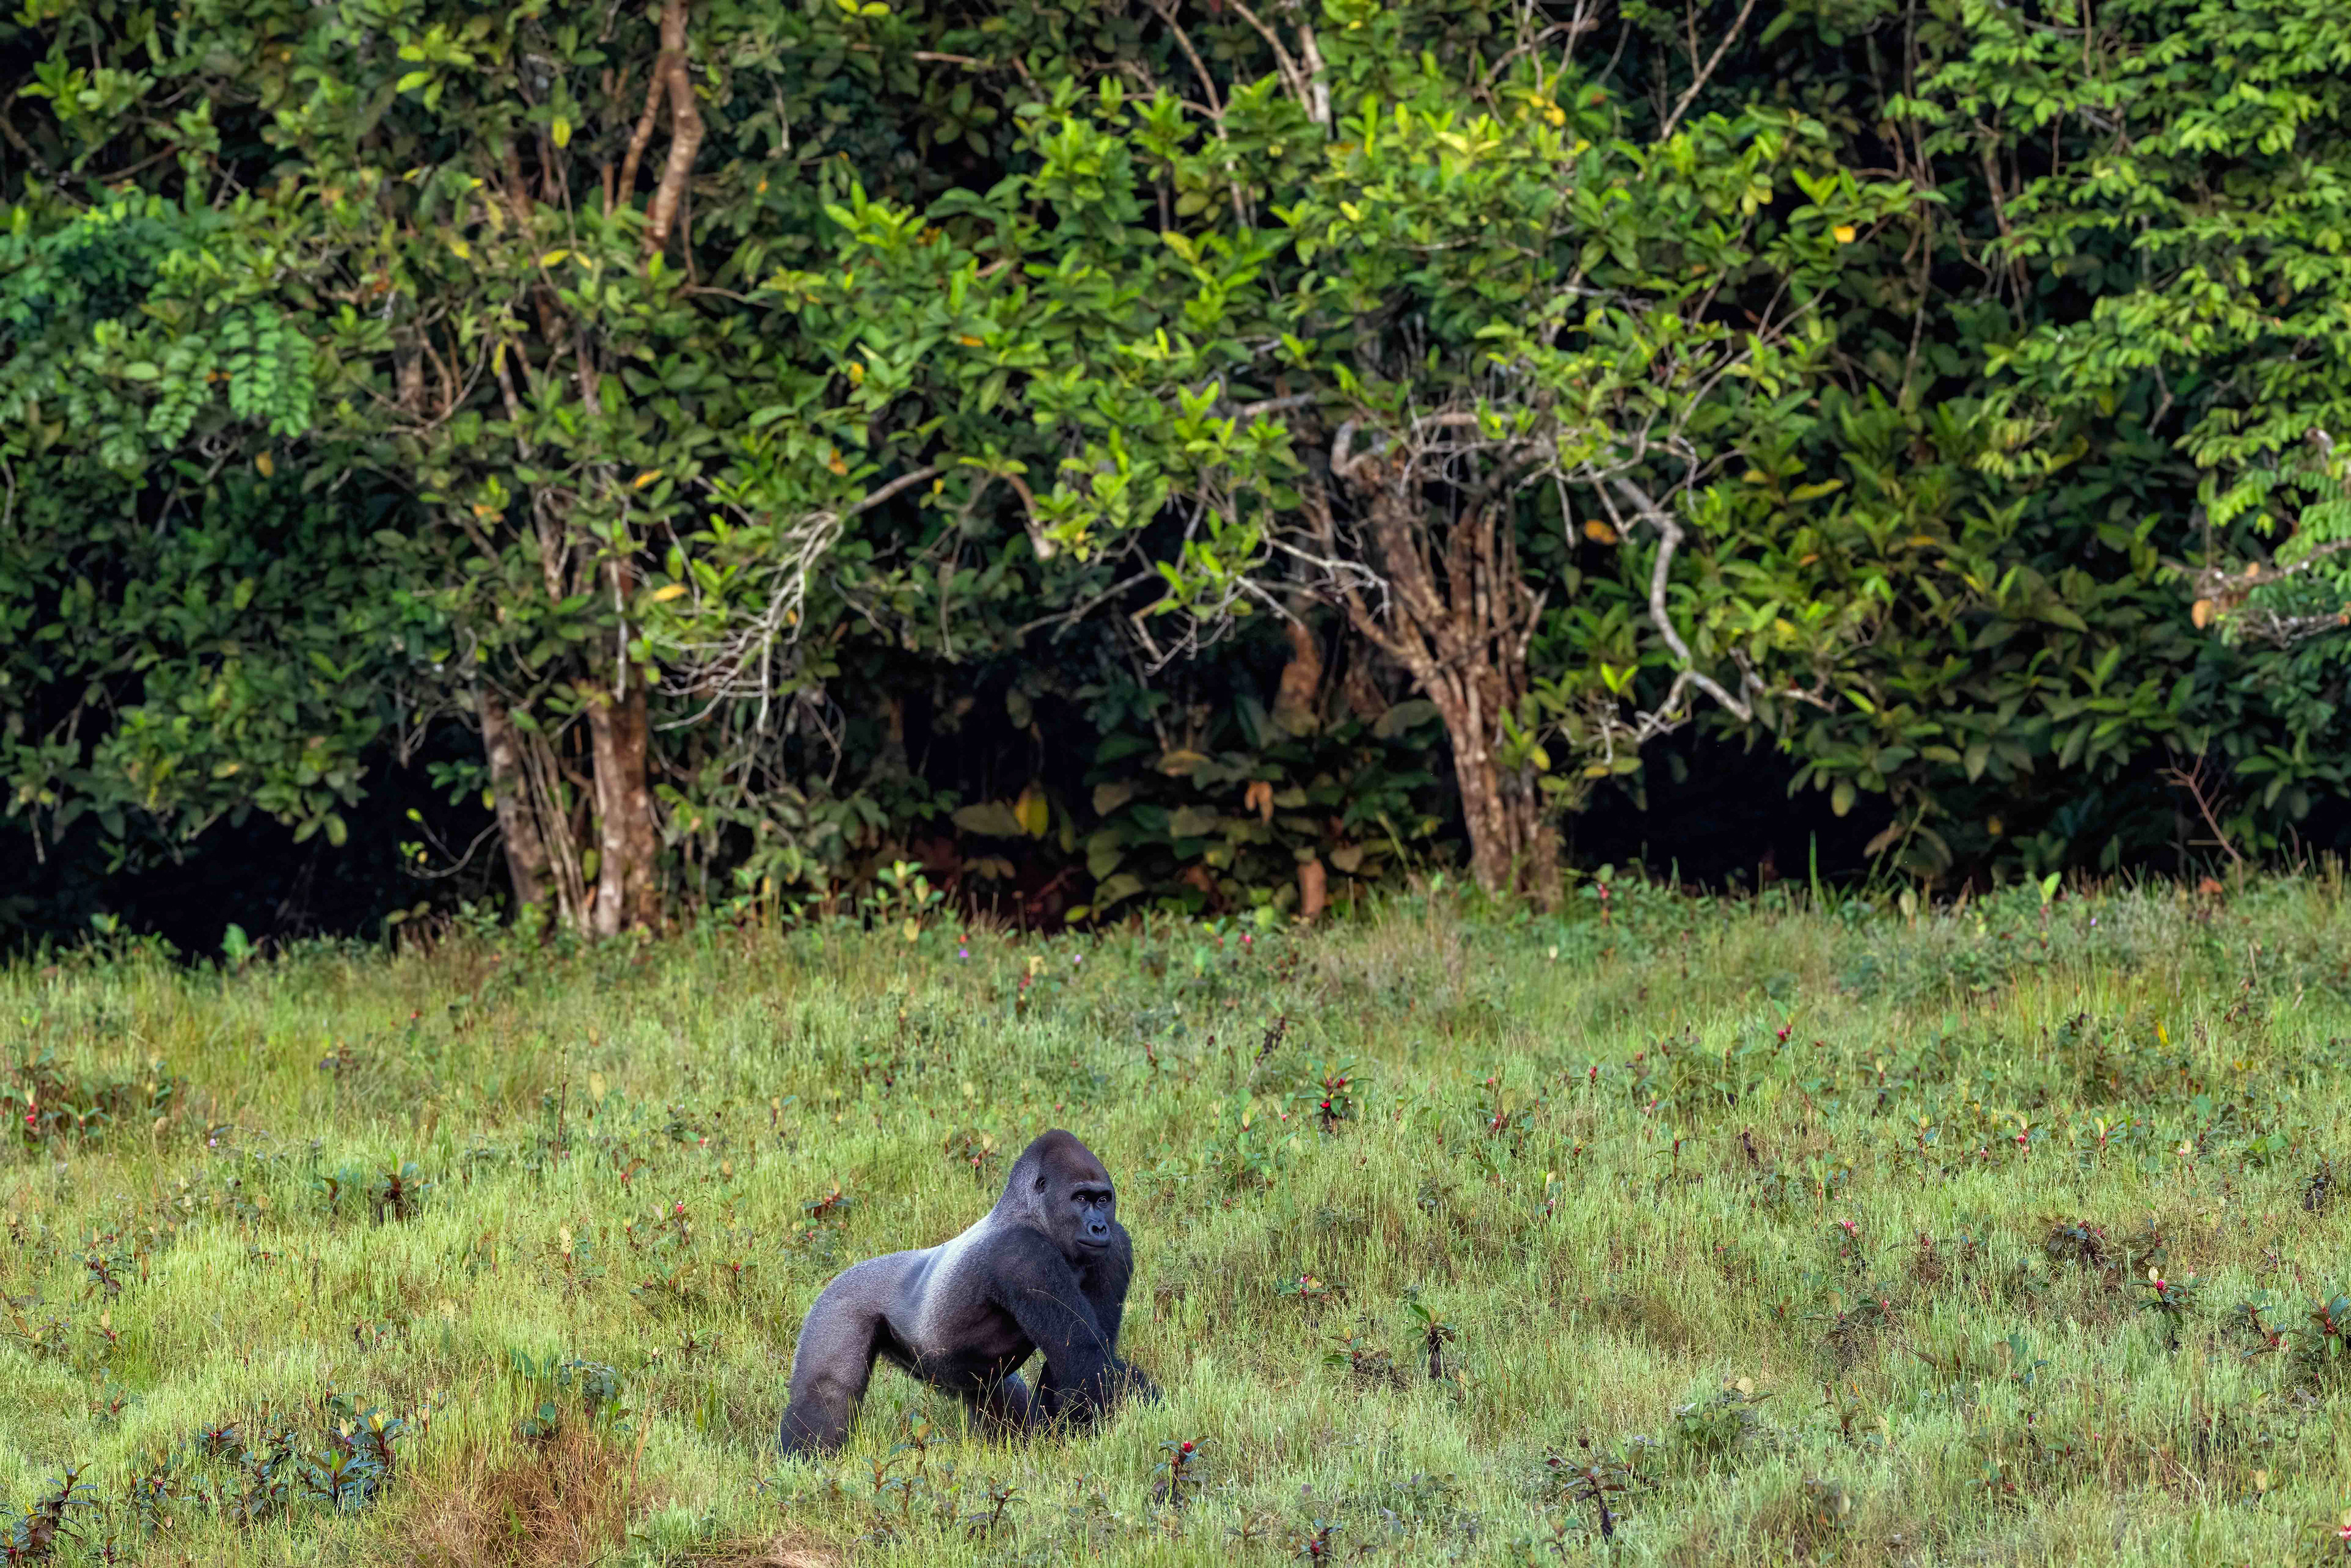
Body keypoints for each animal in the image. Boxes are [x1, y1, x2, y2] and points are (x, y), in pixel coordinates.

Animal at [777, 1129, 1157, 1458]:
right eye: (1080, 1199)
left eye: (1103, 1199)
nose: (1099, 1227)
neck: (1029, 1215)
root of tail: (843, 1274)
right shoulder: (1025, 1254)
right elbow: (1084, 1357)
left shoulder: (1115, 1247)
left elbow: (1082, 1359)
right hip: (838, 1306)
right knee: (826, 1393)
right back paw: (805, 1461)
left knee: (1002, 1396)